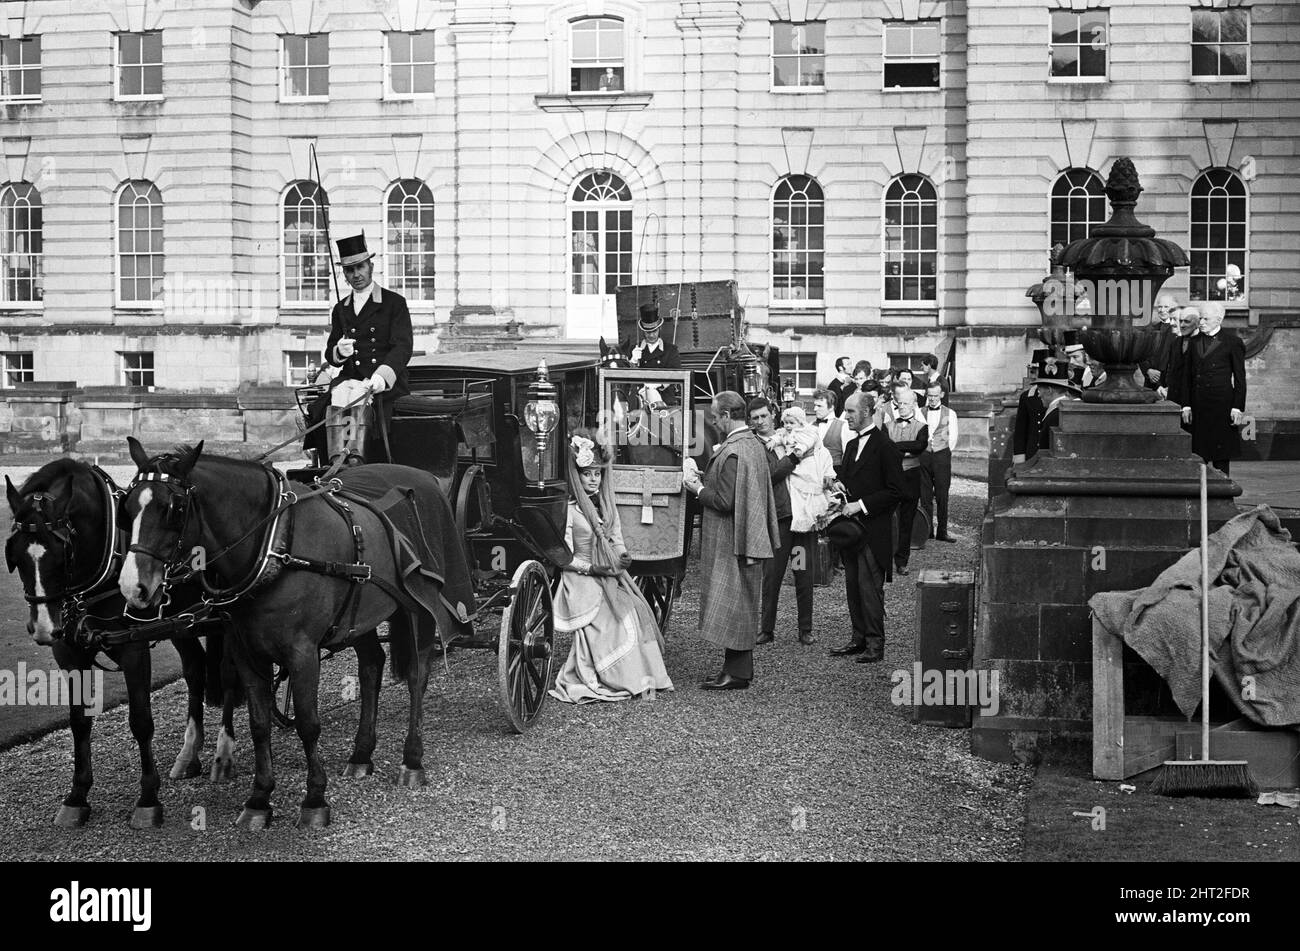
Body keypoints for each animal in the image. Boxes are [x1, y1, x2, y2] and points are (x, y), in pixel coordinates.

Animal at [5, 459, 243, 826]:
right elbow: (79, 722)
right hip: (182, 625)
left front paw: (147, 799)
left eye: (62, 554)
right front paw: (77, 796)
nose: (45, 627)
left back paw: (223, 752)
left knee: (229, 674)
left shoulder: (133, 648)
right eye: (15, 555)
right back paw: (189, 754)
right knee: (195, 669)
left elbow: (141, 722)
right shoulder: (70, 653)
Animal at [122, 433, 447, 826]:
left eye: (174, 509)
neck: (274, 545)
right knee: (371, 666)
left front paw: (315, 798)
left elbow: (308, 722)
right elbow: (259, 723)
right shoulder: (246, 652)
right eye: (127, 507)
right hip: (360, 615)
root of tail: (424, 476)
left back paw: (412, 759)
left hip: (418, 605)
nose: (133, 587)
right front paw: (259, 798)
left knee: (417, 674)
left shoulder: (302, 652)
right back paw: (361, 755)